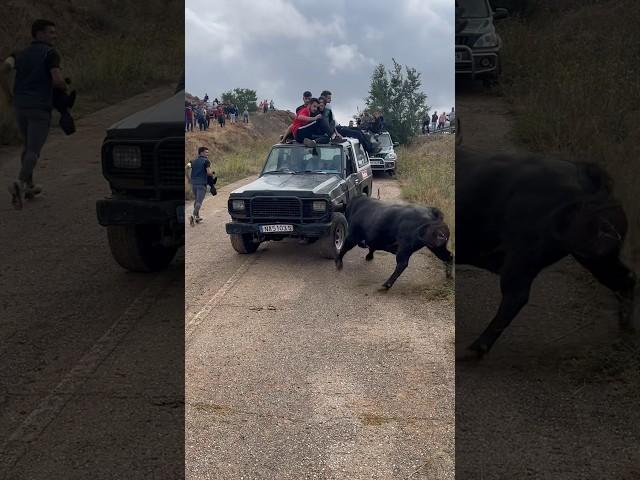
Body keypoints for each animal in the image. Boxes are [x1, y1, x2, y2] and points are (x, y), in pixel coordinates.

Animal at [458, 148, 636, 358]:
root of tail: (585, 175)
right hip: (595, 257)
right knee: (625, 279)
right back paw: (625, 327)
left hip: (523, 256)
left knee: (515, 297)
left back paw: (474, 349)